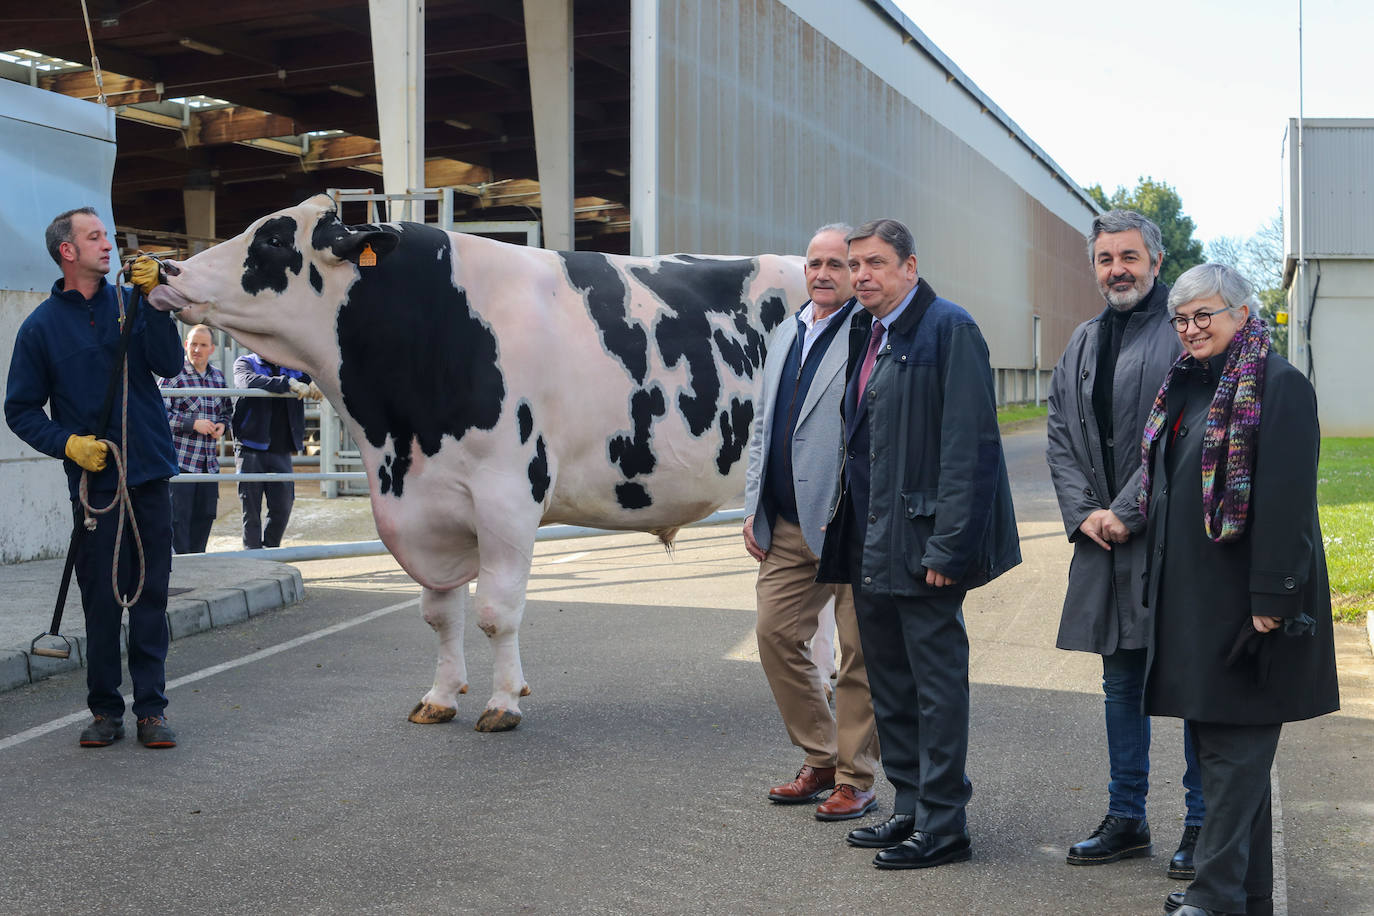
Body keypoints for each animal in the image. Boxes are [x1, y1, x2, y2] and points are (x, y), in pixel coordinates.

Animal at [147, 197, 802, 736]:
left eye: (276, 240)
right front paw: (440, 698)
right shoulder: (429, 504)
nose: (166, 270)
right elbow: (440, 614)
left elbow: (495, 611)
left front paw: (503, 703)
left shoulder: (507, 497)